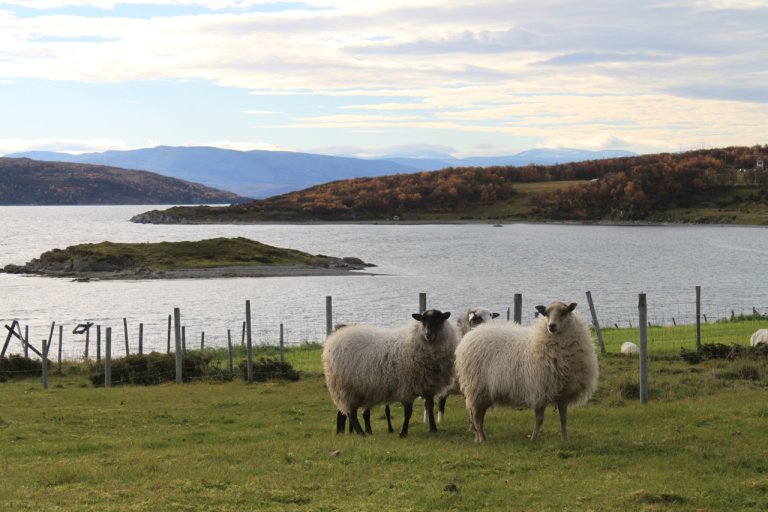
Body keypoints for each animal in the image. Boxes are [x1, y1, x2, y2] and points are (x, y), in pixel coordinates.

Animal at [322, 310, 460, 438]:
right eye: (423, 320)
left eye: (439, 319)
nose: (428, 334)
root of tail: (333, 339)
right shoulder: (407, 388)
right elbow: (408, 412)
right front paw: (403, 432)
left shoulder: (428, 386)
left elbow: (429, 406)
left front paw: (433, 428)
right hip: (347, 389)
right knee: (351, 414)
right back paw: (362, 433)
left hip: (358, 391)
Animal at [456, 302, 600, 442]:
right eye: (546, 313)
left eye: (564, 312)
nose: (551, 326)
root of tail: (471, 334)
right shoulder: (539, 389)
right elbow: (539, 419)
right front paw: (534, 438)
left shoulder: (563, 393)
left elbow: (563, 418)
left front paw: (565, 439)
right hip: (476, 389)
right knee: (476, 416)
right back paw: (481, 439)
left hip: (485, 393)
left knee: (479, 416)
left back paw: (482, 437)